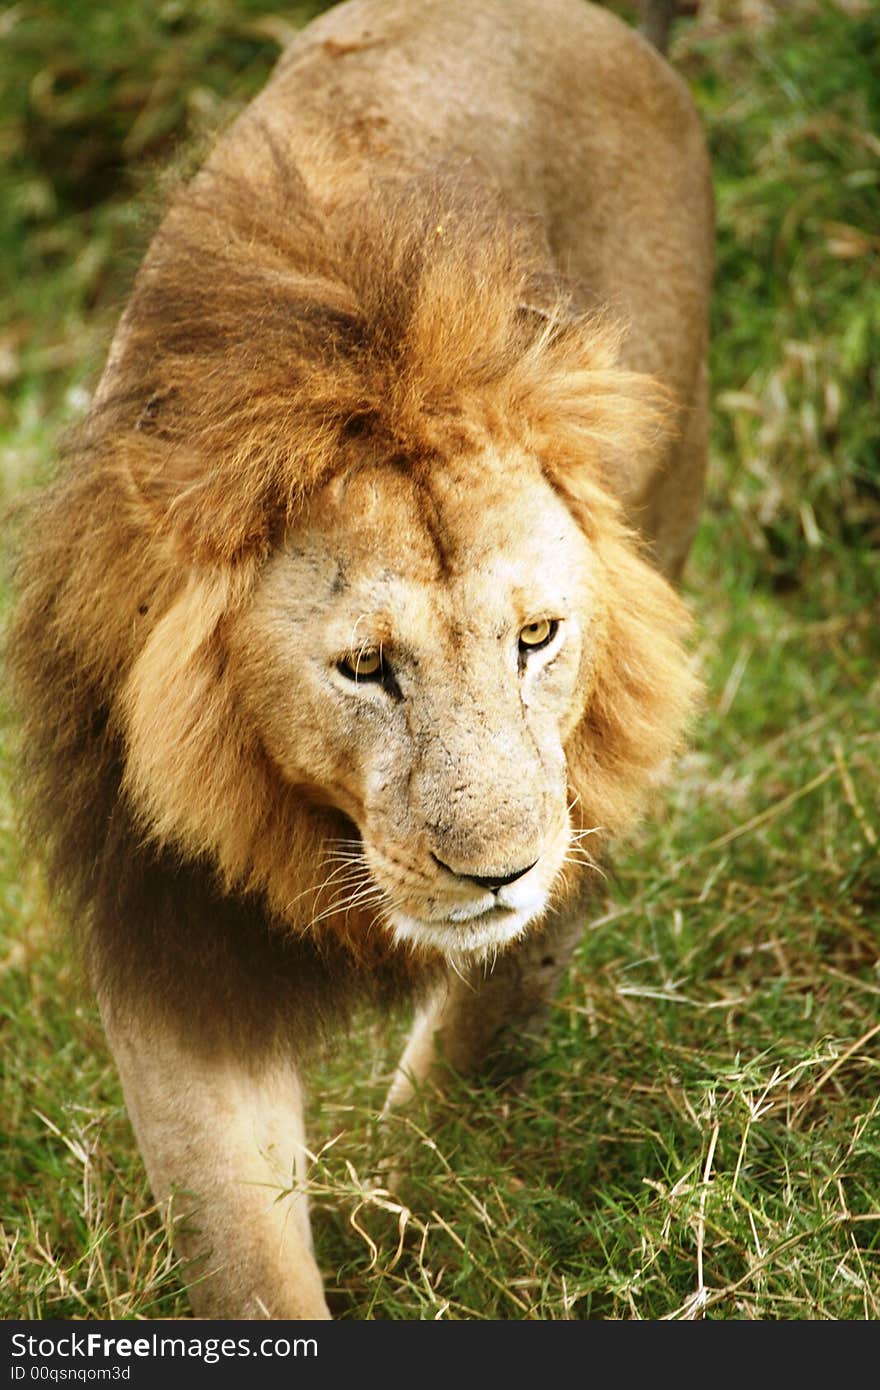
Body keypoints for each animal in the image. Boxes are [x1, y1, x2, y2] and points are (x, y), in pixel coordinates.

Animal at [10, 0, 711, 1312]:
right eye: (365, 668)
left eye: (536, 636)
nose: (495, 871)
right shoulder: (171, 932)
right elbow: (244, 1246)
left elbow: (510, 973)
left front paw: (430, 1177)